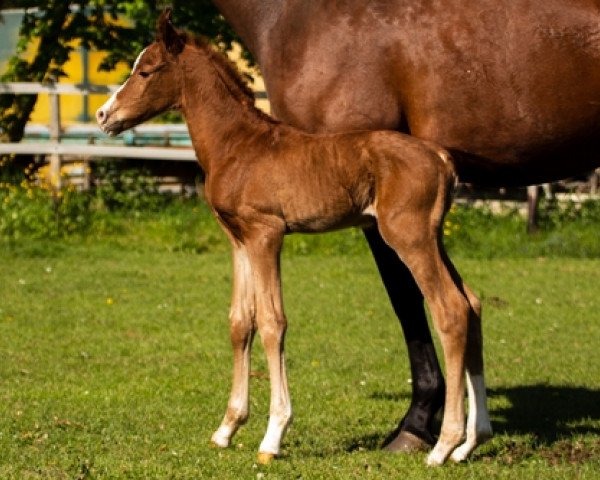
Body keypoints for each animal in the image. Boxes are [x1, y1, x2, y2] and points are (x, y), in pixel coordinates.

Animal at [96, 10, 490, 464]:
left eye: (145, 70)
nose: (103, 115)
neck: (238, 145)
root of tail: (441, 158)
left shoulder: (266, 233)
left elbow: (272, 321)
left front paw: (273, 436)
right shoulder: (238, 239)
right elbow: (240, 322)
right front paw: (226, 429)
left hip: (409, 237)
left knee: (450, 310)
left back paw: (443, 445)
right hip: (433, 236)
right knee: (471, 303)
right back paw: (471, 441)